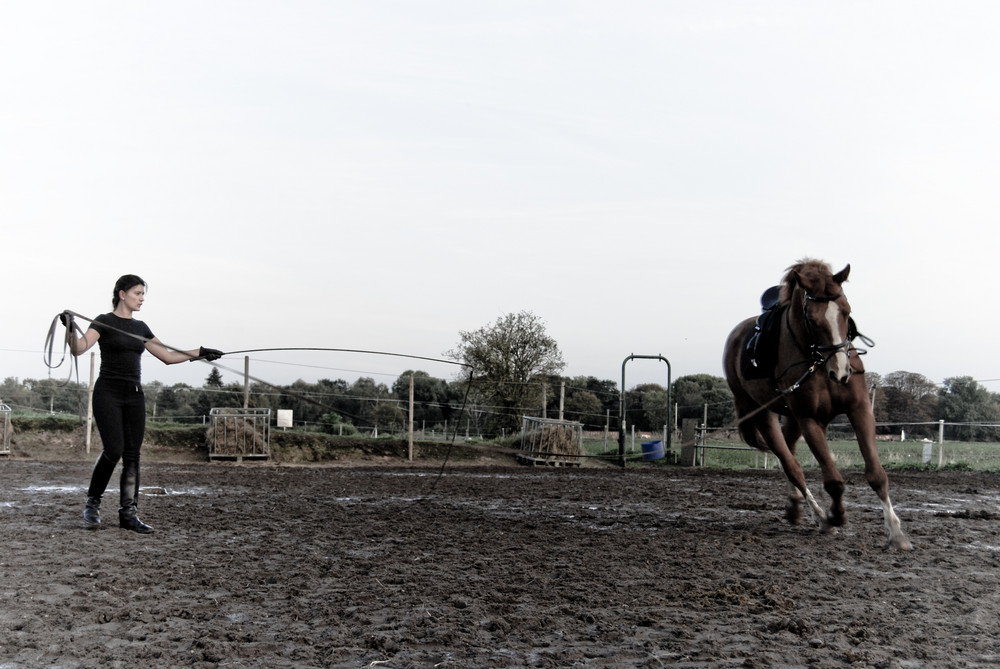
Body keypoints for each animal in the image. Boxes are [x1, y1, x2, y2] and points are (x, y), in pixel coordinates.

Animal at [724, 260, 912, 548]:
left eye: (847, 312)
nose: (842, 372)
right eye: (812, 320)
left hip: (791, 418)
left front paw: (895, 532)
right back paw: (822, 518)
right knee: (792, 466)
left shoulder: (859, 410)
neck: (819, 363)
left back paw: (795, 507)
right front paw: (836, 515)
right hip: (764, 415)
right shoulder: (810, 420)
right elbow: (833, 481)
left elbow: (877, 475)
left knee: (790, 451)